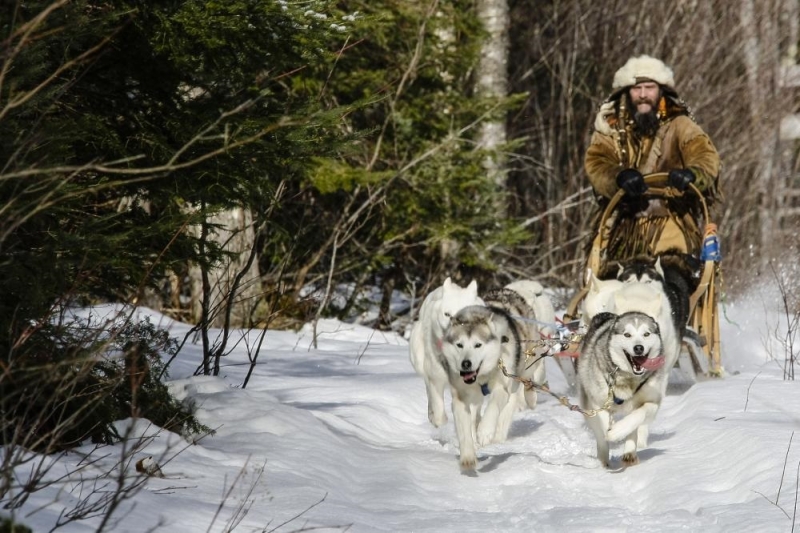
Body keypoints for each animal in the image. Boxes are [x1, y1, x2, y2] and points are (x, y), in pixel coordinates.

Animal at [580, 310, 664, 468]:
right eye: (627, 335)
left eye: (646, 334)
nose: (639, 348)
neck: (628, 379)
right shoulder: (598, 402)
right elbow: (604, 423)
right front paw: (611, 432)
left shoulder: (653, 401)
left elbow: (638, 415)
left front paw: (619, 432)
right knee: (599, 435)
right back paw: (604, 460)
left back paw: (629, 452)